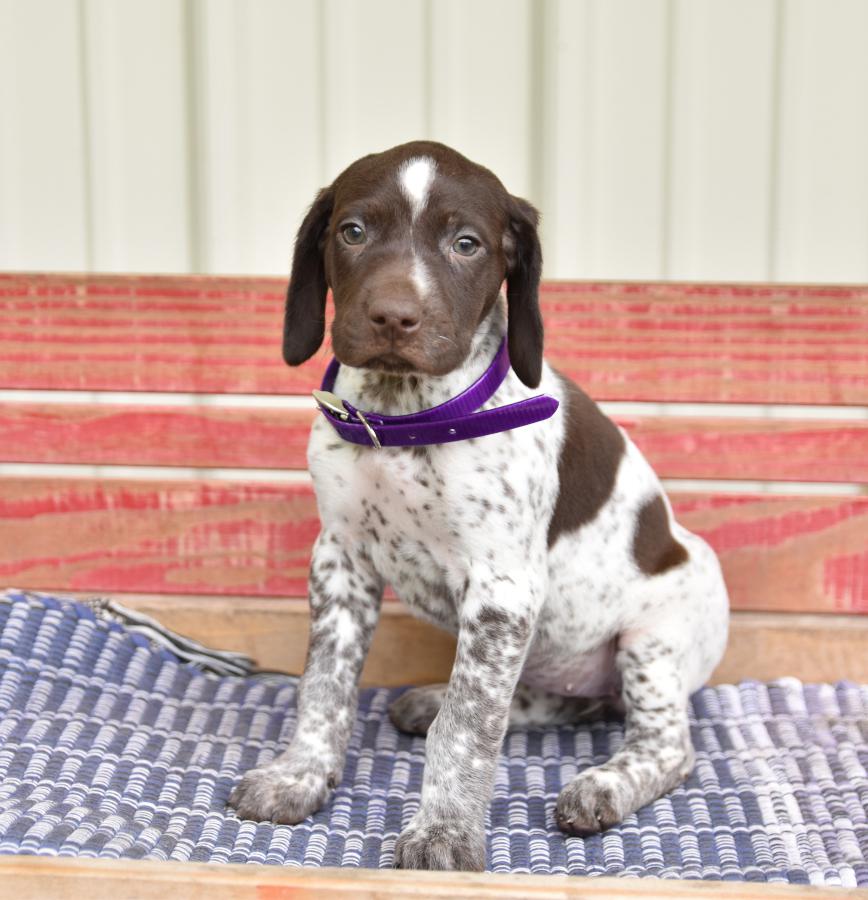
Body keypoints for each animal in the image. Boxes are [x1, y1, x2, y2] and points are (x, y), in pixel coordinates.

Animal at [227, 141, 728, 872]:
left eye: (466, 244)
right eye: (353, 232)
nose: (393, 317)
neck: (406, 415)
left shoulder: (501, 591)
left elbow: (468, 726)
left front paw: (445, 831)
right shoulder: (340, 561)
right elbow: (324, 685)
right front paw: (300, 775)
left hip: (652, 641)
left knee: (667, 745)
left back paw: (603, 785)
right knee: (545, 701)